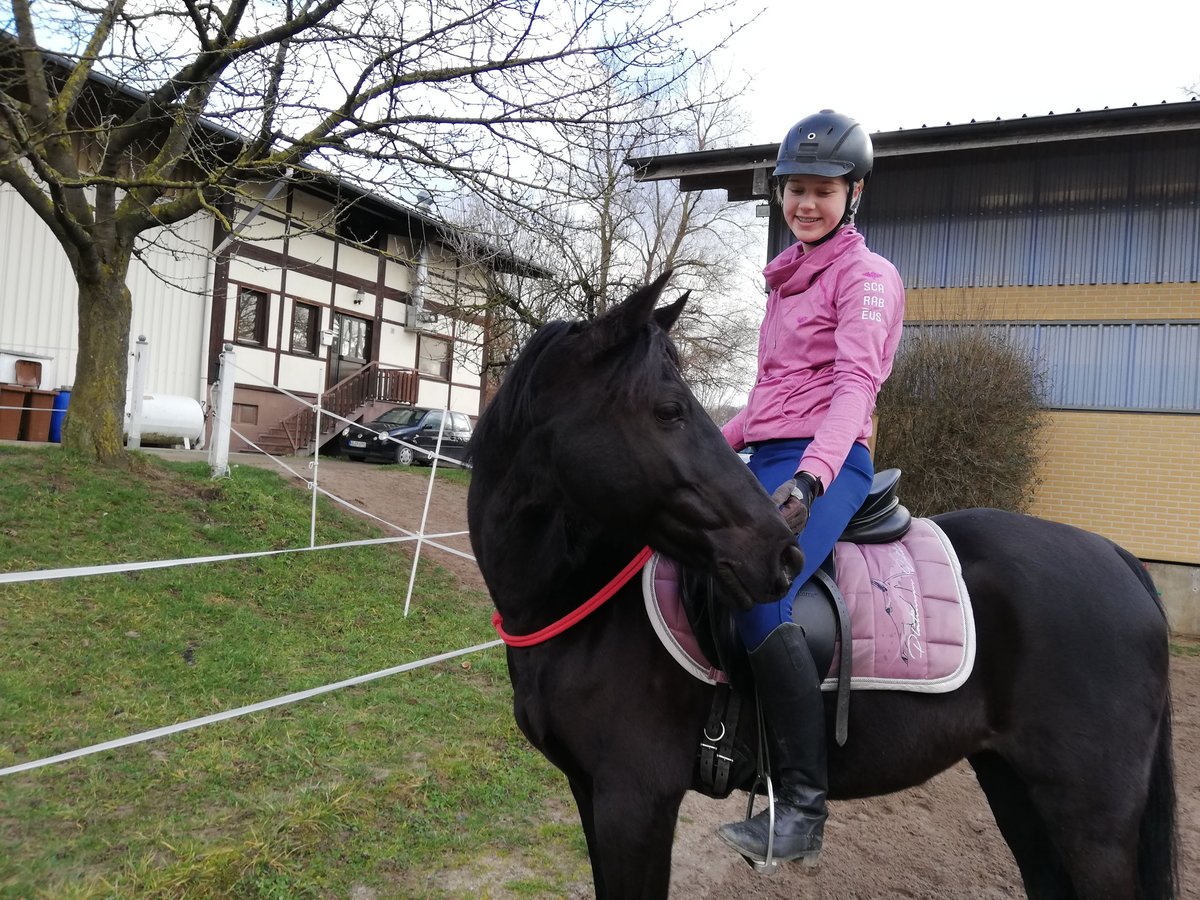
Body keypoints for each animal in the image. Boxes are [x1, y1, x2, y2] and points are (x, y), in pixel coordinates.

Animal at [463, 274, 1176, 900]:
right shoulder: (592, 793)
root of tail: (1119, 557)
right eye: (669, 410)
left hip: (1090, 817)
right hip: (1015, 786)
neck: (579, 602)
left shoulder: (634, 801)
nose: (782, 552)